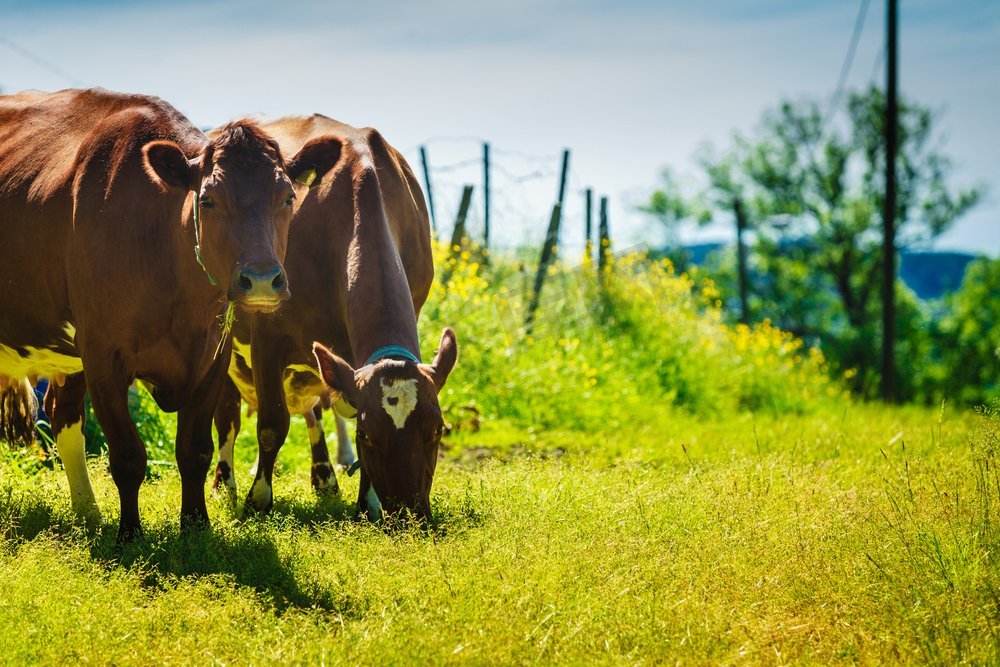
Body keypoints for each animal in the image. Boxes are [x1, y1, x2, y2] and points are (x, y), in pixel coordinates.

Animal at [0, 88, 340, 540]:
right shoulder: (102, 355)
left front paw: (196, 527)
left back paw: (88, 513)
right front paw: (129, 535)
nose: (262, 280)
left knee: (63, 414)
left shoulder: (213, 355)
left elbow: (195, 451)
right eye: (208, 200)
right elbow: (128, 456)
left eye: (288, 198)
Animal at [215, 116, 460, 520]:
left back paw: (324, 476)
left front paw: (368, 504)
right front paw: (258, 500)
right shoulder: (267, 336)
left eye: (438, 430)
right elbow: (271, 425)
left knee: (312, 409)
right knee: (228, 417)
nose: (409, 514)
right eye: (367, 434)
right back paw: (225, 483)